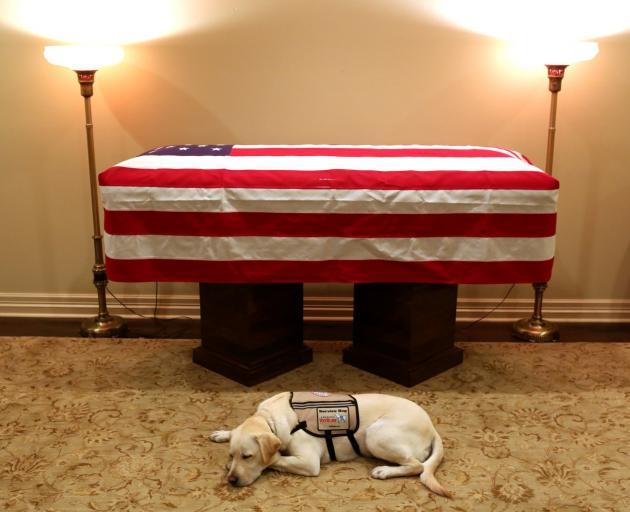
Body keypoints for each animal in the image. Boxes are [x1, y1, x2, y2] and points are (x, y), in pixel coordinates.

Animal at [211, 392, 450, 496]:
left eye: (248, 456)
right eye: (232, 454)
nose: (231, 480)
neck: (270, 417)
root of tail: (432, 427)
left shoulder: (308, 463)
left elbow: (276, 459)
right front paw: (223, 434)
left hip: (376, 435)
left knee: (417, 466)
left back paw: (384, 471)